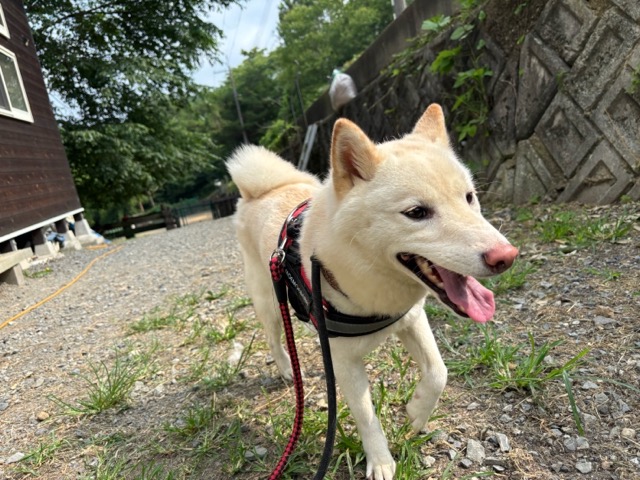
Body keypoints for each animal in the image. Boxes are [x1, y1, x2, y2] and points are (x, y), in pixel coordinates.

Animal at [226, 104, 518, 480]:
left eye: (469, 198)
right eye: (416, 213)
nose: (506, 257)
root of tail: (263, 190)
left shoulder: (412, 319)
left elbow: (438, 373)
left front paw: (416, 414)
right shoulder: (343, 360)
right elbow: (366, 416)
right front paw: (380, 461)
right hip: (268, 300)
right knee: (275, 338)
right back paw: (287, 370)